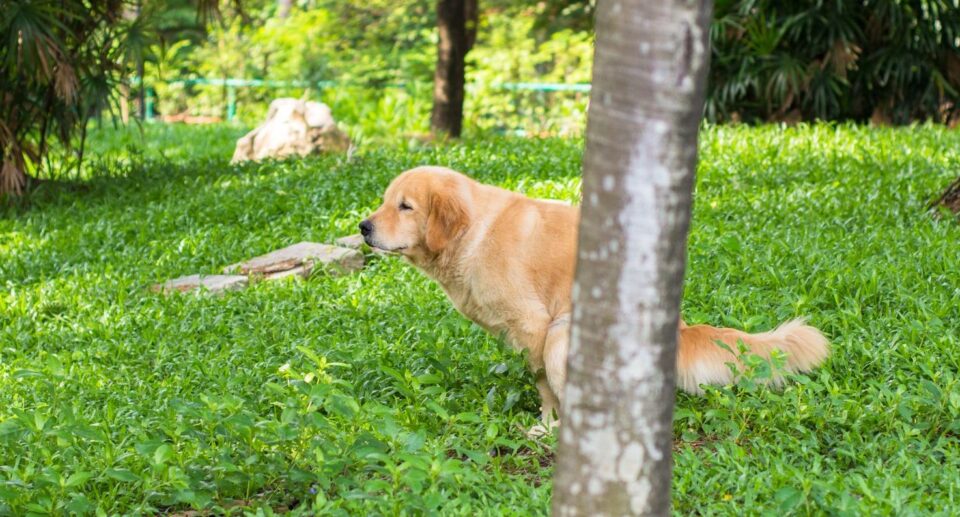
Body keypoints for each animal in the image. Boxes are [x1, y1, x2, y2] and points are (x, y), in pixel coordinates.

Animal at [361, 166, 829, 434]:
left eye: (405, 206)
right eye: (385, 201)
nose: (364, 227)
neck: (472, 232)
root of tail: (678, 329)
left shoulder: (536, 325)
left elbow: (544, 385)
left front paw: (547, 424)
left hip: (564, 334)